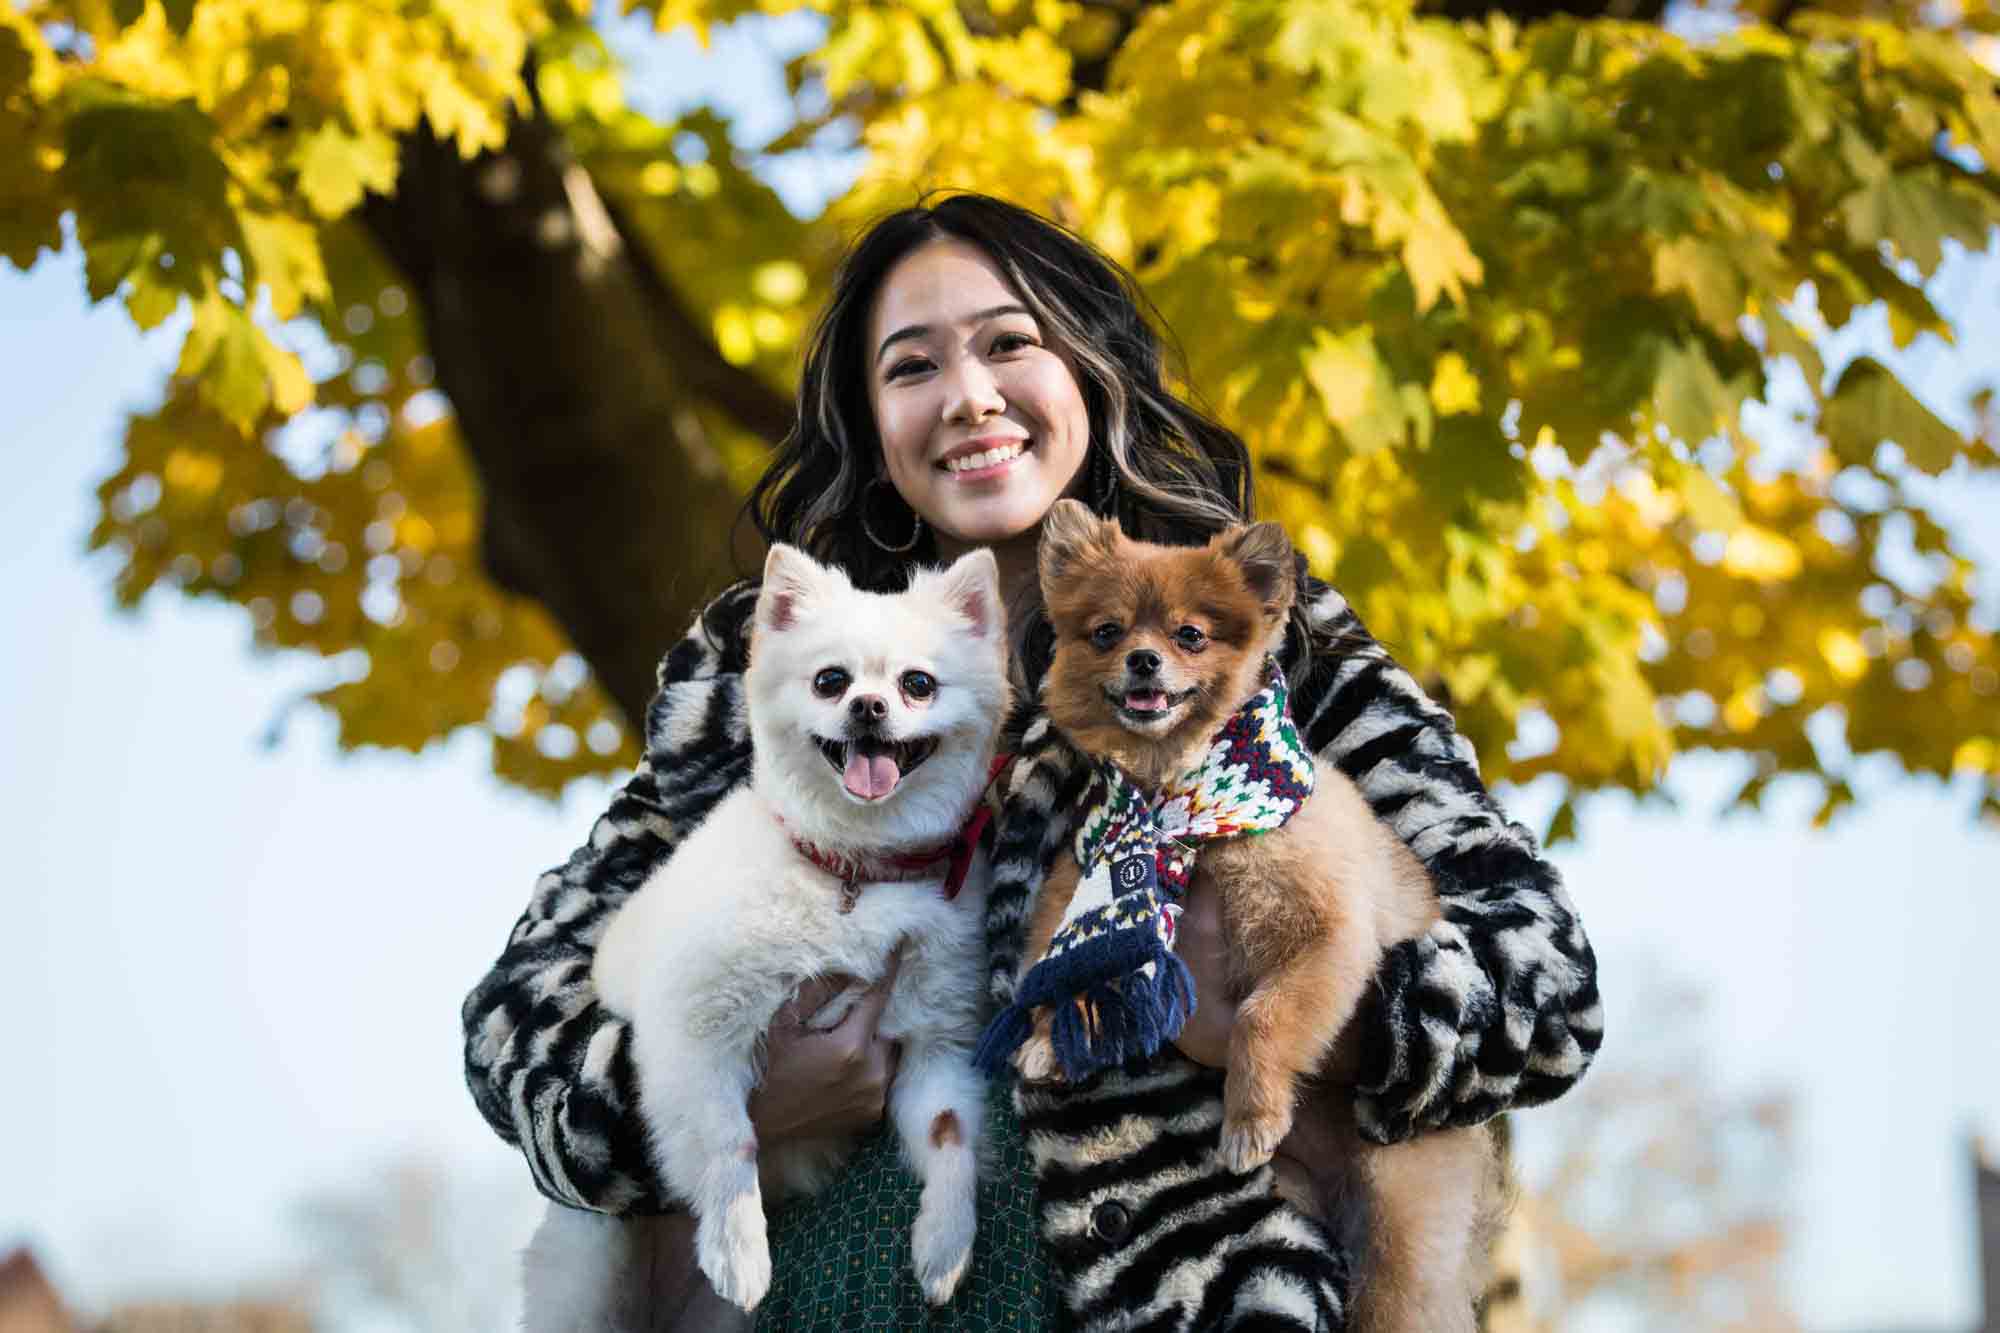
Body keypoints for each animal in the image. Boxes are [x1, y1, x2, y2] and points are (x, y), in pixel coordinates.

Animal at [520, 540, 1008, 1320]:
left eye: (919, 684)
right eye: (830, 680)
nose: (868, 706)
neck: (854, 871)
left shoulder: (934, 1045)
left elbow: (949, 1135)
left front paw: (945, 1242)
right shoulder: (694, 1033)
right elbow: (729, 1141)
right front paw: (738, 1247)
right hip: (589, 1274)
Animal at [1016, 496, 1504, 1328]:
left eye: (1189, 634)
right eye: (1107, 631)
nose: (1142, 660)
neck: (1175, 803)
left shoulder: (1326, 937)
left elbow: (1262, 1017)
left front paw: (1251, 1116)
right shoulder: (1079, 883)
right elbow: (1063, 960)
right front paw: (1052, 1039)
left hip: (1401, 1232)